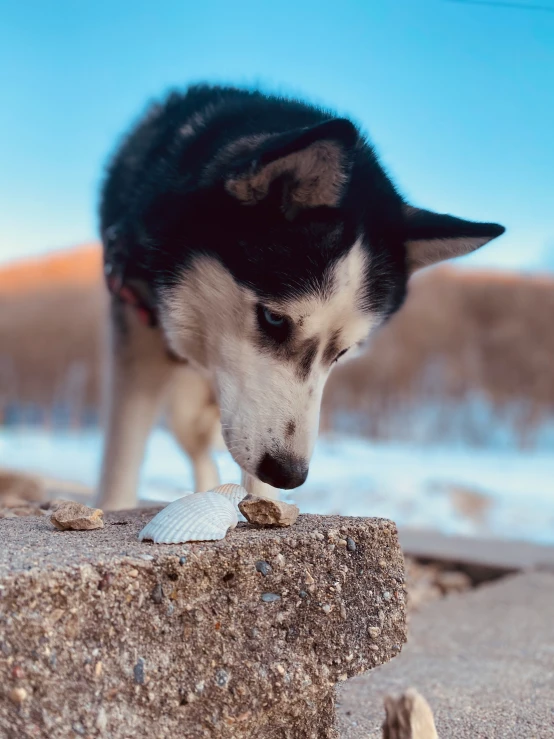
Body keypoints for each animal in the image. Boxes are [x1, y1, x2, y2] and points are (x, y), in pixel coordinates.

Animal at [95, 85, 500, 508]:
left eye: (343, 352)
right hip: (182, 409)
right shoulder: (134, 342)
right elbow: (120, 464)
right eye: (274, 319)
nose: (289, 475)